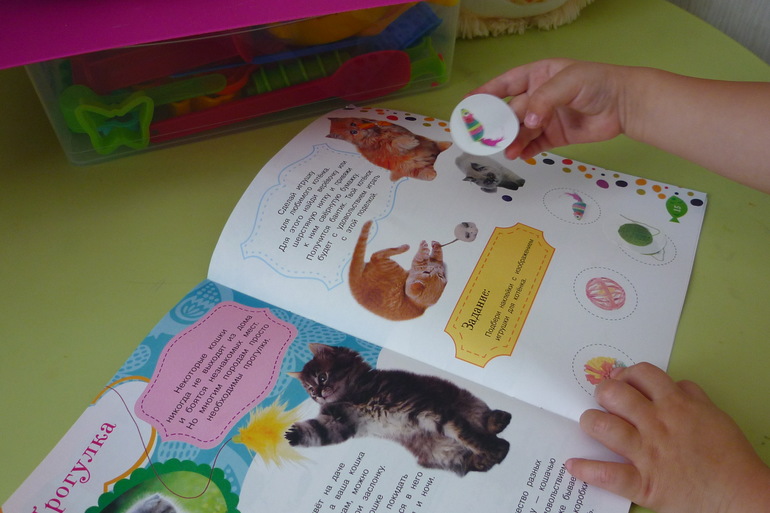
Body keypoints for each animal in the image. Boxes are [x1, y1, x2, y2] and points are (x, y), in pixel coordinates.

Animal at [286, 343, 512, 476]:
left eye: (322, 377)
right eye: (310, 390)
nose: (317, 395)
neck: (354, 395)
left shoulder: (426, 408)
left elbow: (465, 435)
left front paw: (488, 448)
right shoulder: (340, 422)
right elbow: (316, 431)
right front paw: (290, 435)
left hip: (467, 403)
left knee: (488, 429)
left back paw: (497, 426)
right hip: (441, 453)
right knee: (484, 454)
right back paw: (487, 456)